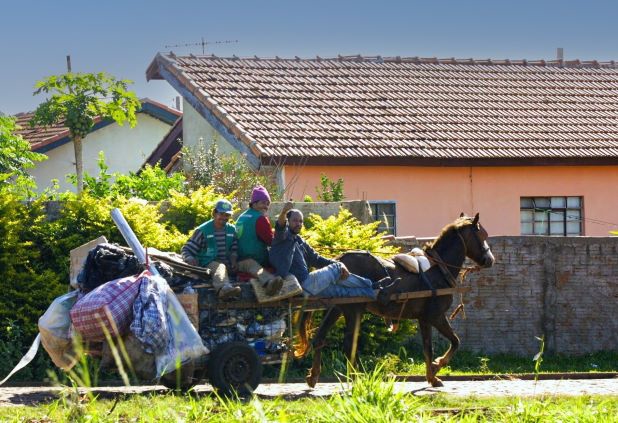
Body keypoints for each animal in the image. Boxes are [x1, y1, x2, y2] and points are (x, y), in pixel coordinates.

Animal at [294, 214, 496, 390]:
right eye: (481, 234)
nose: (490, 260)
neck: (438, 269)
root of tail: (340, 261)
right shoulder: (436, 316)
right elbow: (455, 342)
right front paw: (438, 365)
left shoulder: (424, 319)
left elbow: (428, 348)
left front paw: (432, 377)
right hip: (354, 310)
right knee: (348, 345)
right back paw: (359, 377)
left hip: (337, 308)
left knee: (319, 338)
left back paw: (314, 376)